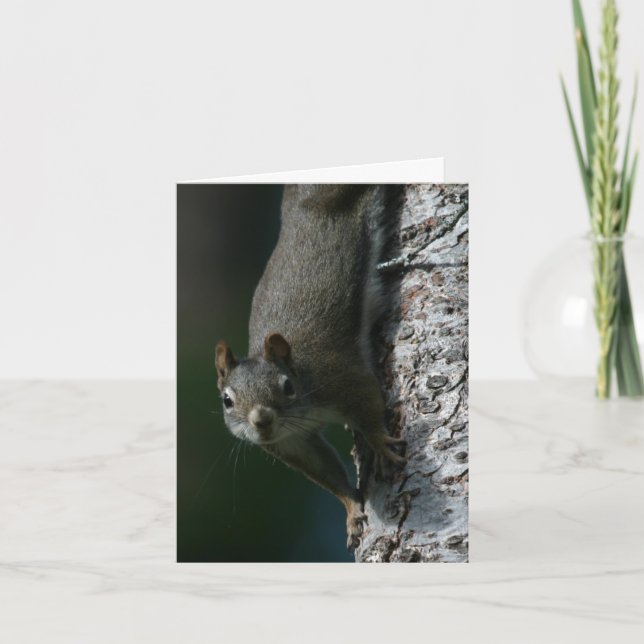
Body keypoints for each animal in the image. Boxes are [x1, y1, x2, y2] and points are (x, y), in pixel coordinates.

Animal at [215, 184, 406, 549]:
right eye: (227, 401)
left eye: (287, 386)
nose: (261, 420)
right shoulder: (293, 443)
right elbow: (326, 472)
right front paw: (351, 509)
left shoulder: (341, 378)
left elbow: (368, 405)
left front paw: (380, 445)